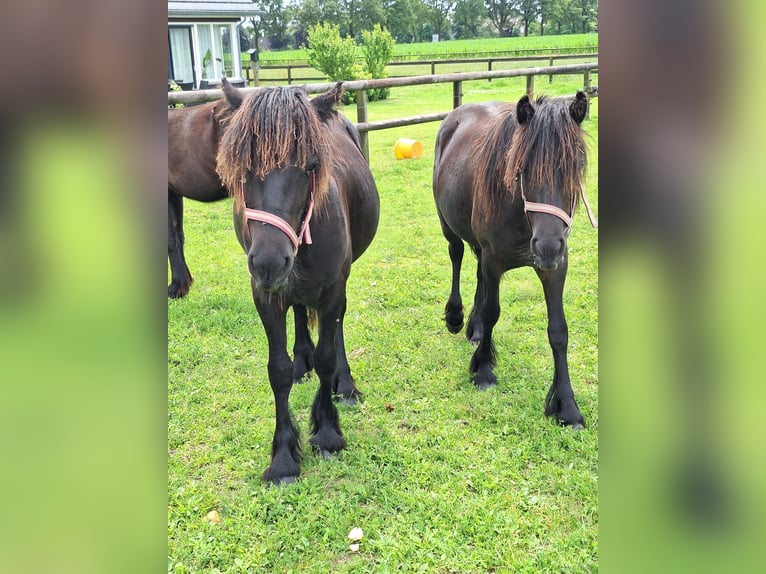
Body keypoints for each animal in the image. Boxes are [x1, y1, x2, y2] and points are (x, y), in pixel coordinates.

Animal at [216, 82, 380, 486]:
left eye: (311, 166)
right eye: (244, 167)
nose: (269, 262)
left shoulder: (333, 288)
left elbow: (326, 357)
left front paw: (327, 432)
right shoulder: (264, 294)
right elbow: (278, 370)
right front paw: (284, 457)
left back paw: (345, 385)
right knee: (300, 312)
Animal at [436, 92, 592, 430]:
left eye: (576, 165)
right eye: (522, 167)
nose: (547, 247)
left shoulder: (556, 267)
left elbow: (558, 330)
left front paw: (567, 405)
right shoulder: (494, 260)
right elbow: (493, 312)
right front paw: (483, 370)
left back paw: (474, 328)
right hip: (449, 227)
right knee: (456, 256)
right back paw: (456, 317)